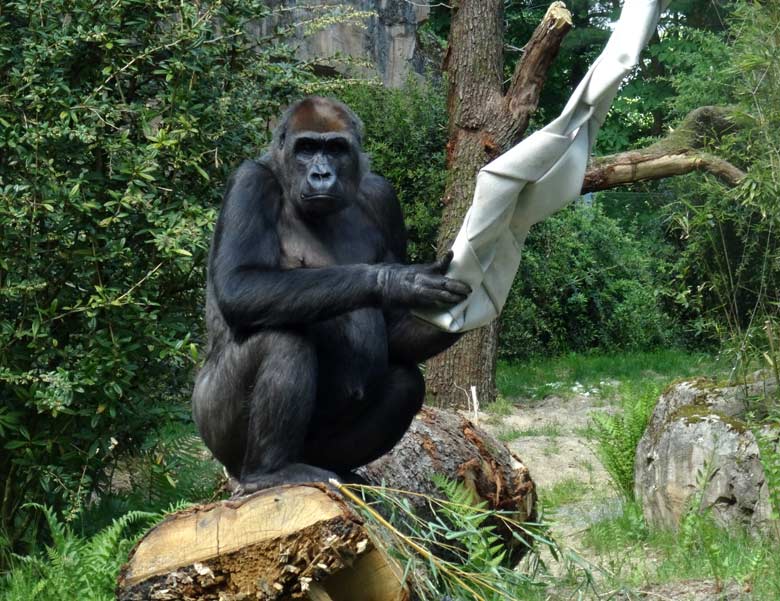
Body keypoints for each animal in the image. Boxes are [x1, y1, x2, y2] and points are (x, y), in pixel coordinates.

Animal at [192, 97, 470, 492]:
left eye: (336, 149)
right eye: (306, 148)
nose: (321, 175)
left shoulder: (383, 196)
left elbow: (395, 331)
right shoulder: (249, 181)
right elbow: (238, 284)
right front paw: (397, 280)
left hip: (316, 451)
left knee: (405, 383)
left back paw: (342, 471)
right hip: (212, 427)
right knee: (282, 337)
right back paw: (269, 472)